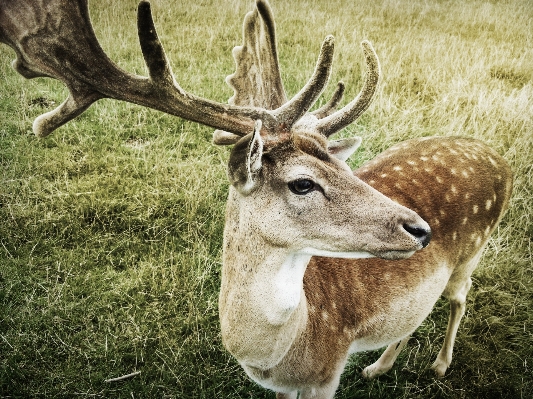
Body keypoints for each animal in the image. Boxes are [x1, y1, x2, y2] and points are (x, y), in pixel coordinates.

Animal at [2, 0, 512, 399]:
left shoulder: (327, 373)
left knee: (459, 297)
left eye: (346, 168)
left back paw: (439, 365)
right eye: (303, 183)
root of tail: (498, 157)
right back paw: (377, 366)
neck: (278, 352)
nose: (420, 228)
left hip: (474, 250)